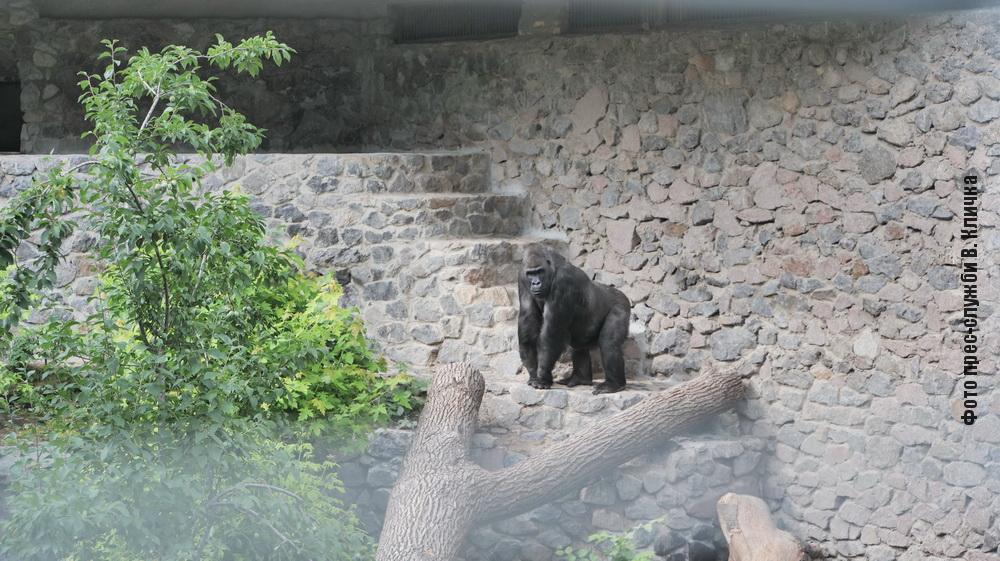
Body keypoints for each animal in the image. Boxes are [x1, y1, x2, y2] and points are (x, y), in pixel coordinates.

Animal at [520, 244, 628, 394]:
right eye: (530, 274)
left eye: (540, 271)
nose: (536, 283)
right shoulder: (521, 277)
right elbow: (528, 325)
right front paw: (533, 373)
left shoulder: (563, 281)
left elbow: (552, 334)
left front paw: (542, 377)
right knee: (578, 346)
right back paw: (581, 378)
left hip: (622, 304)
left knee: (609, 343)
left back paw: (613, 384)